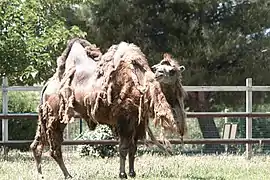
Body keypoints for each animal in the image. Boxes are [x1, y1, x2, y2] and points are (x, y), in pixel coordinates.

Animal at [29, 38, 186, 179]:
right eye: (157, 68)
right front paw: (122, 174)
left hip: (46, 116)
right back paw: (67, 175)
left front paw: (132, 173)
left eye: (172, 71)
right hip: (55, 115)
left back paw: (41, 174)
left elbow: (133, 148)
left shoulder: (137, 121)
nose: (158, 73)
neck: (141, 88)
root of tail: (48, 85)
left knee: (37, 144)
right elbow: (123, 148)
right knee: (55, 148)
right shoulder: (124, 119)